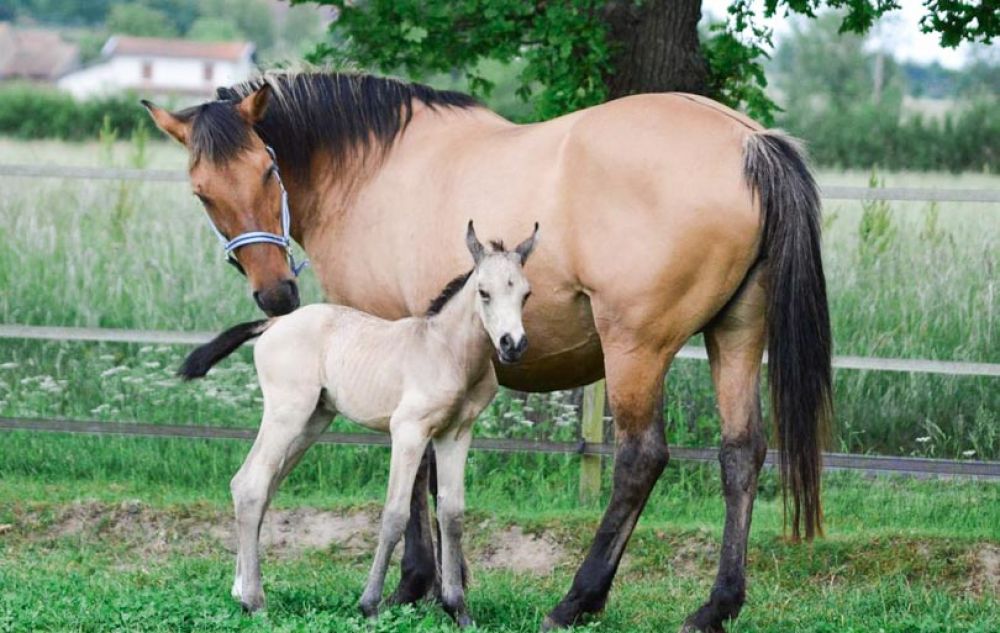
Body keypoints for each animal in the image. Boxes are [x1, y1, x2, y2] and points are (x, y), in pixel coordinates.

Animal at [180, 221, 540, 624]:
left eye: (525, 294)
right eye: (484, 292)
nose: (512, 345)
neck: (448, 352)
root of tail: (273, 323)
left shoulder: (456, 434)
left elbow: (452, 515)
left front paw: (458, 609)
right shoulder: (409, 432)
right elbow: (395, 514)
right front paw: (370, 604)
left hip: (313, 420)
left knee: (263, 486)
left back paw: (241, 590)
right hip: (286, 413)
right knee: (250, 483)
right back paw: (255, 600)